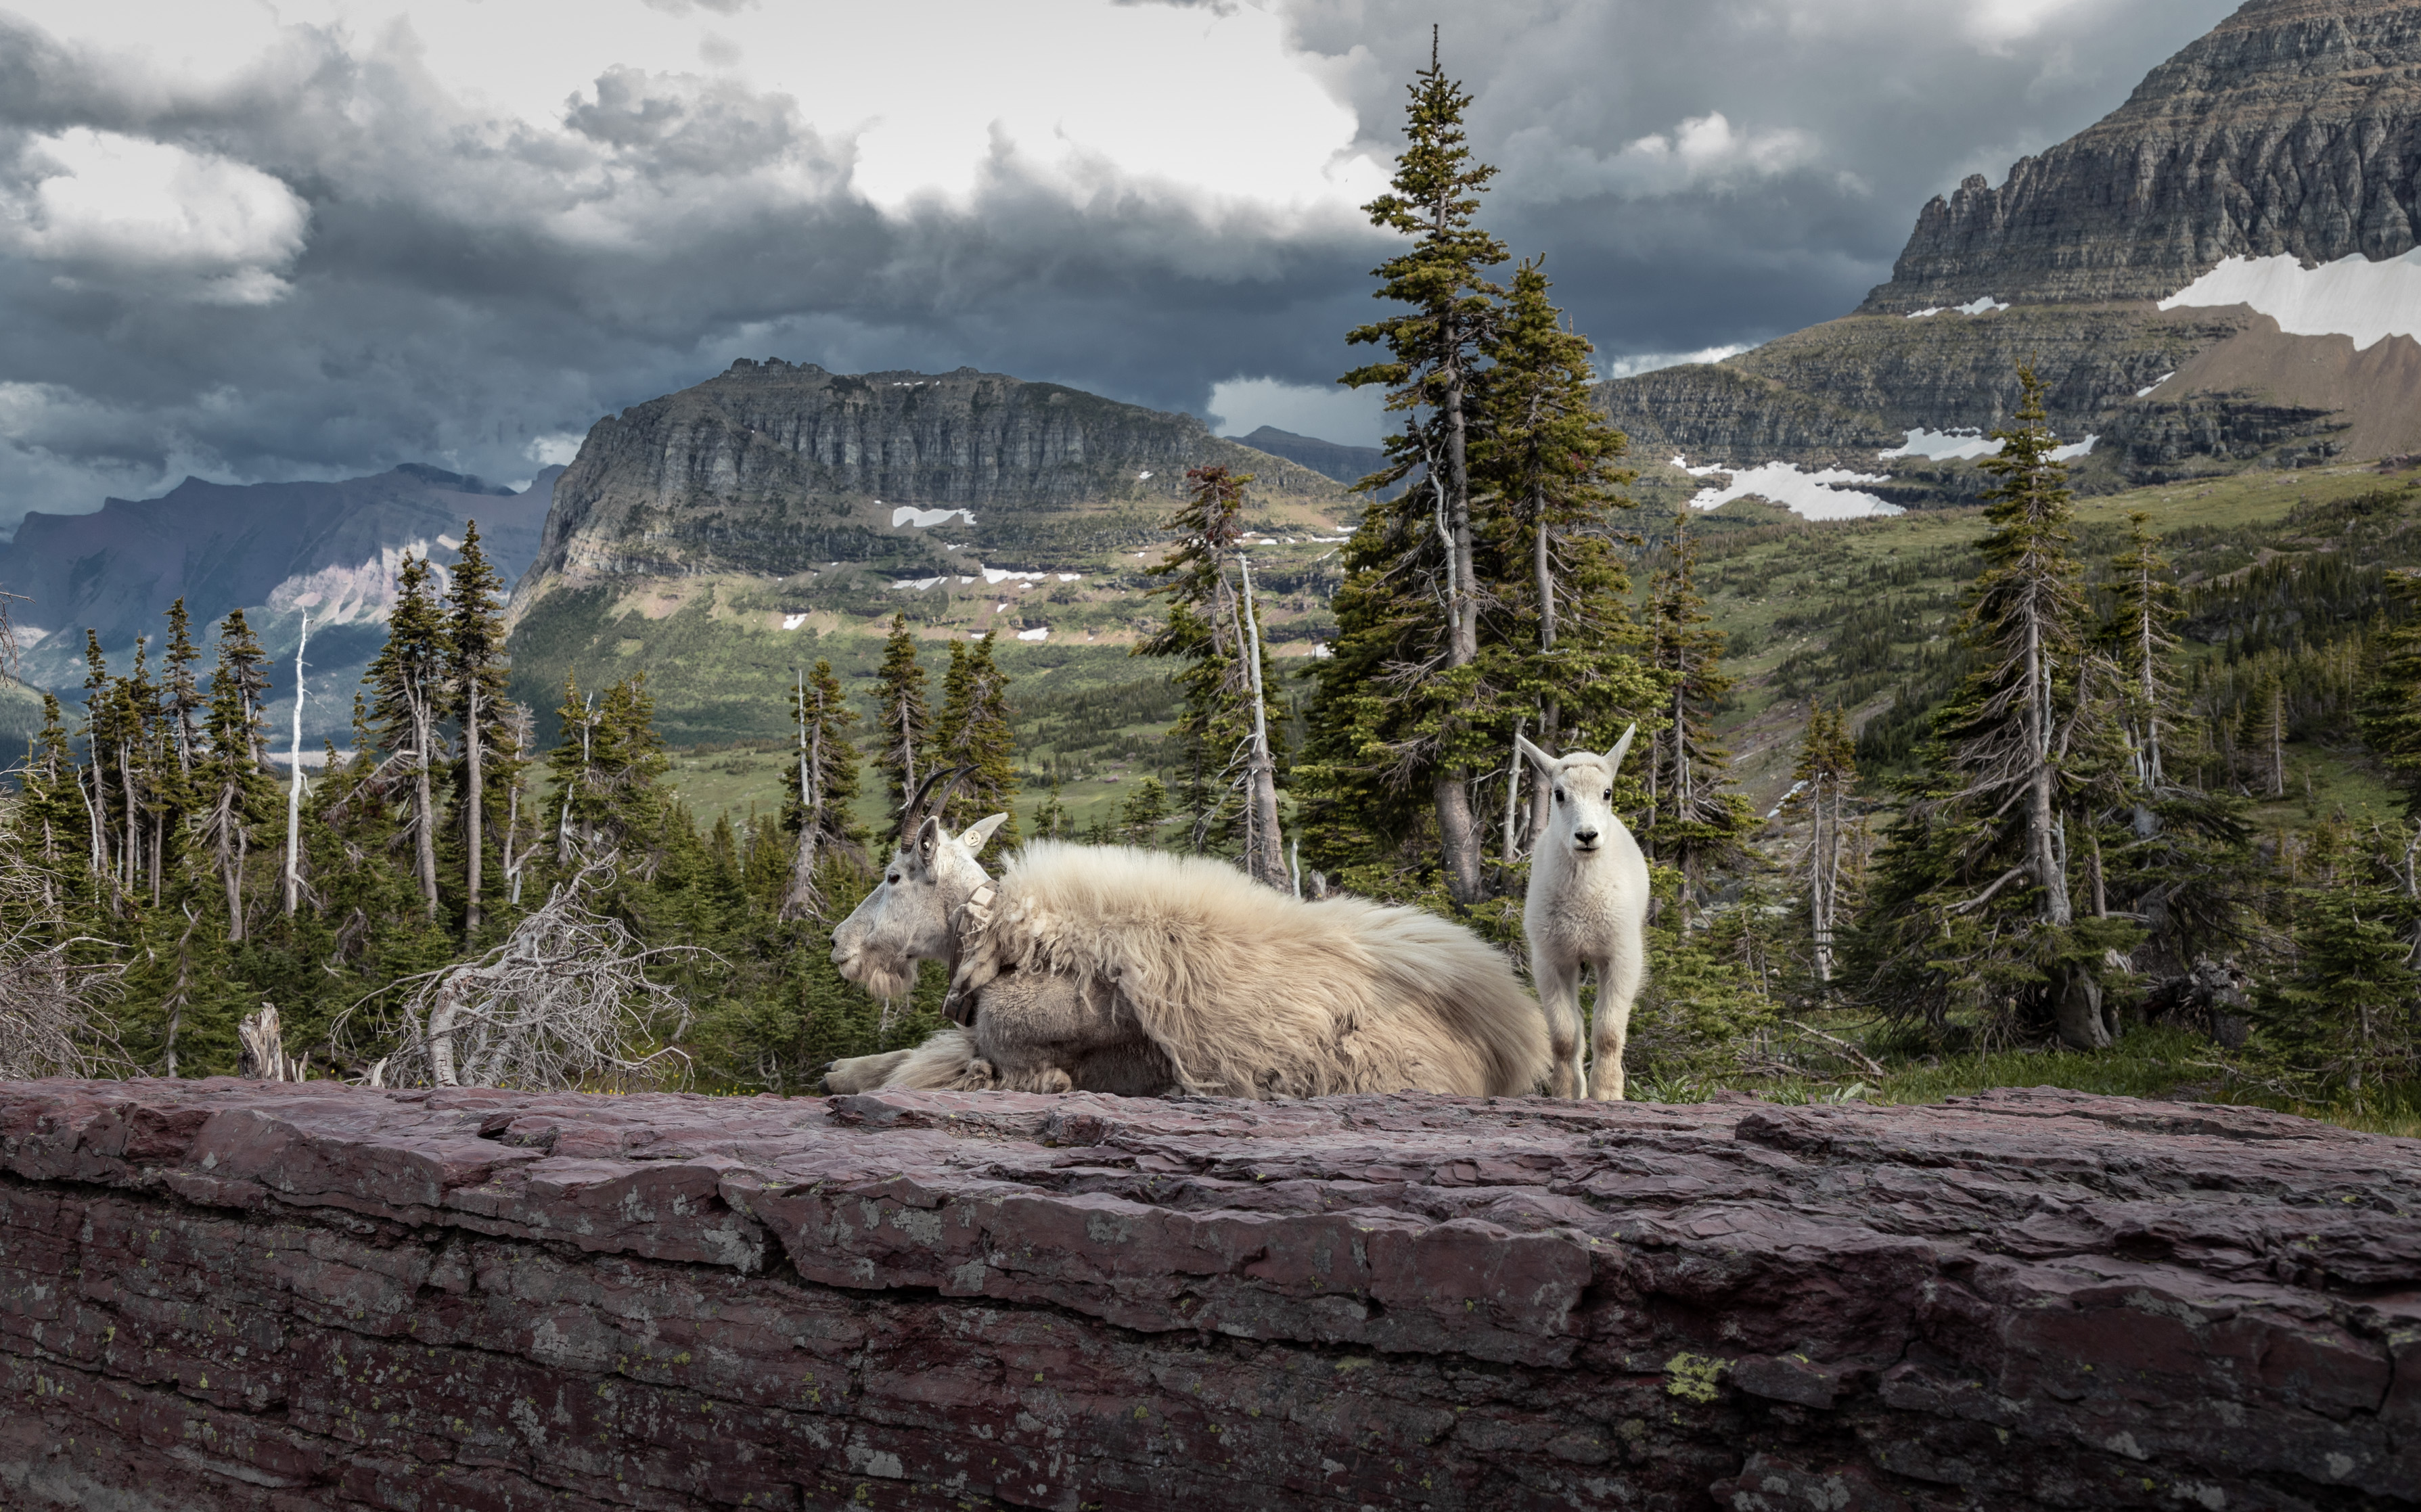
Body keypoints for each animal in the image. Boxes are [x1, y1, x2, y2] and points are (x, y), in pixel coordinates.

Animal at [832, 779, 1549, 1098]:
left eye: (893, 875)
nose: (839, 945)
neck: (1010, 938)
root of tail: (1505, 1045)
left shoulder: (1019, 1054)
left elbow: (933, 1064)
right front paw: (843, 1066)